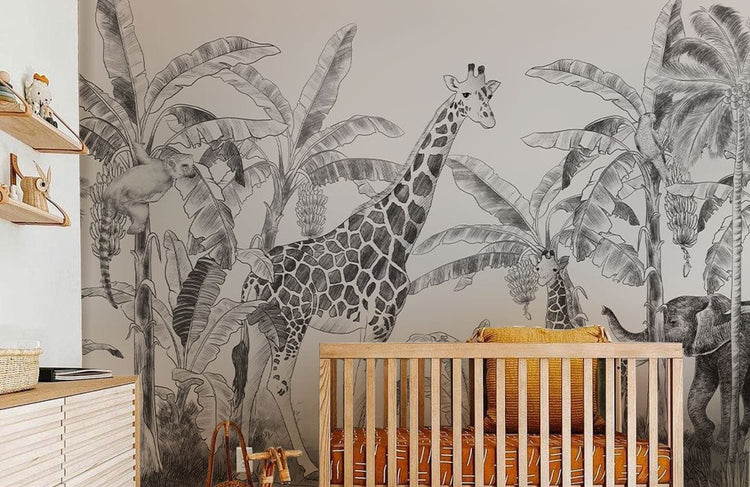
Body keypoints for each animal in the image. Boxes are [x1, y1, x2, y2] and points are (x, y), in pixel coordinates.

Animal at [240, 64, 500, 476]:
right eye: (464, 94)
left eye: (487, 94)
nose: (489, 118)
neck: (401, 233)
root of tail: (252, 279)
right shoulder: (382, 320)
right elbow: (367, 386)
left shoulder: (371, 325)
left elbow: (363, 385)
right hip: (293, 323)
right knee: (277, 384)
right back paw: (308, 463)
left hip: (262, 328)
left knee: (249, 388)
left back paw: (244, 464)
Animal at [602, 294, 750, 445]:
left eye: (673, 322)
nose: (604, 309)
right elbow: (703, 384)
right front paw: (704, 435)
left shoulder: (736, 345)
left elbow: (728, 384)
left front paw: (724, 442)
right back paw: (743, 433)